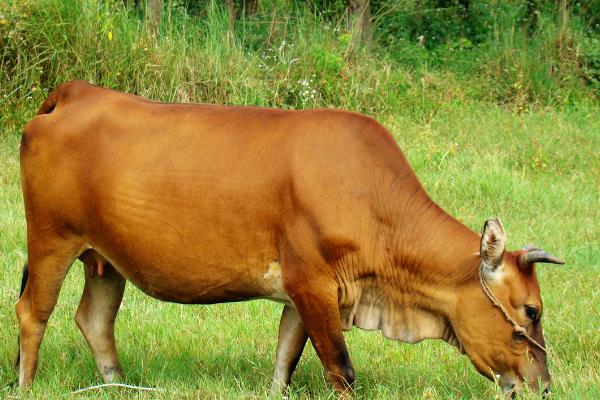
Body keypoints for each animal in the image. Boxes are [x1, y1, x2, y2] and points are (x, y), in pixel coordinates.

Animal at [17, 79, 564, 396]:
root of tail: (75, 92)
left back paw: (116, 384)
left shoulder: (306, 294)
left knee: (94, 320)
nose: (543, 386)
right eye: (531, 312)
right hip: (51, 240)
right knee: (32, 313)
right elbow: (340, 367)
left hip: (103, 257)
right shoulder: (313, 284)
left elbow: (286, 356)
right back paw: (25, 383)